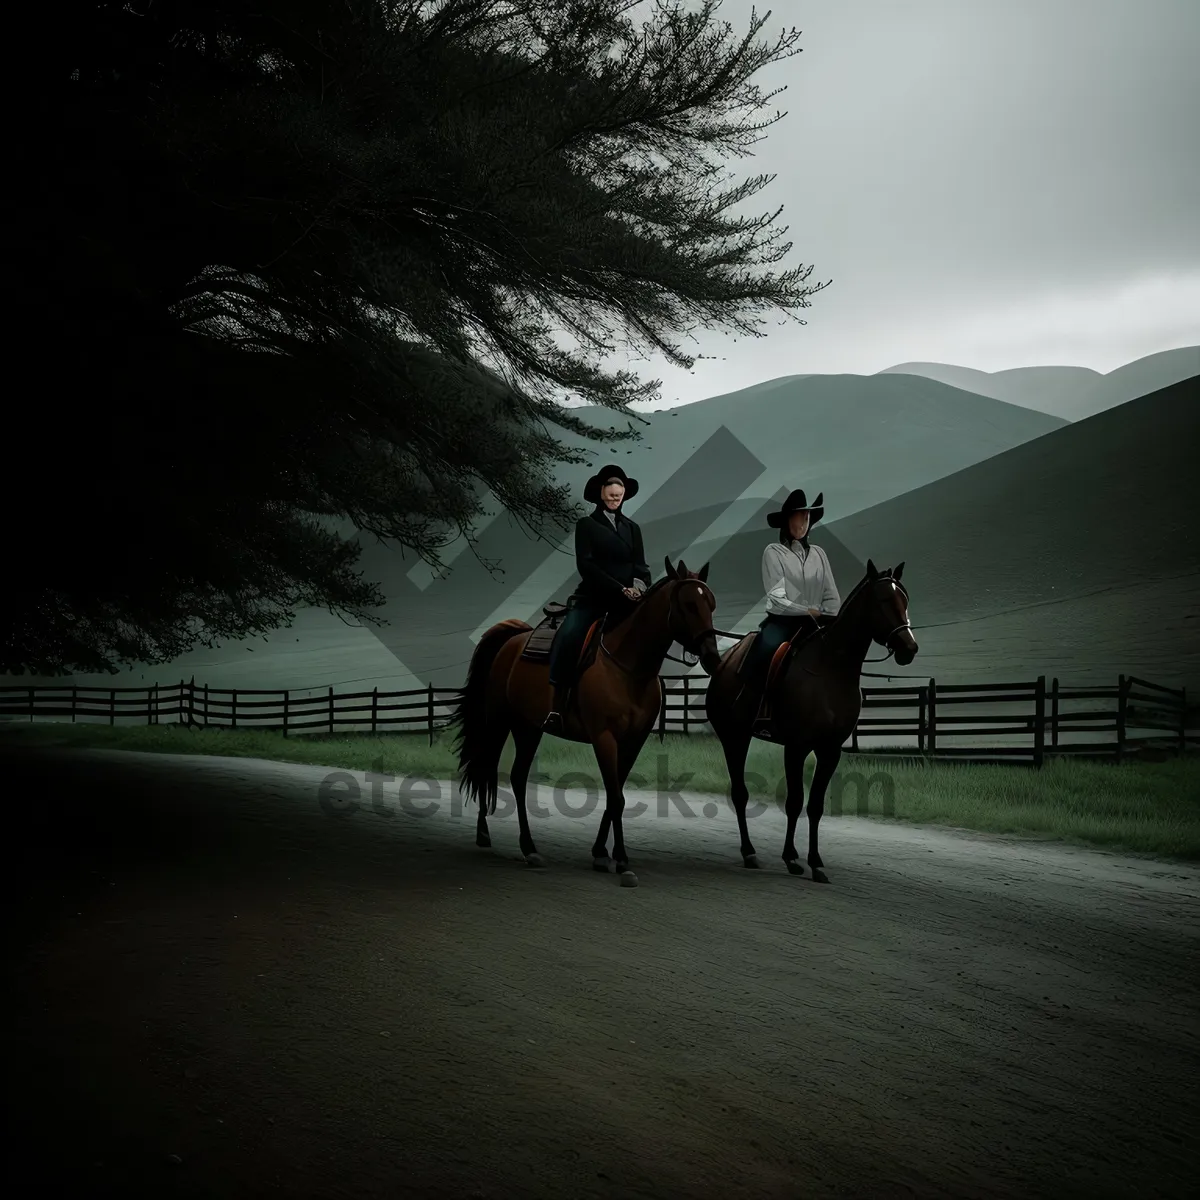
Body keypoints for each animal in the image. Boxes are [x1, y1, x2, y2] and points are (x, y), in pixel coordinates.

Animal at [444, 556, 715, 888]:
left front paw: (601, 853)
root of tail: (513, 640)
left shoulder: (633, 742)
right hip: (498, 721)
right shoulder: (604, 738)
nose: (712, 656)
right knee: (486, 764)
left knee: (518, 778)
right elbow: (616, 798)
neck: (628, 668)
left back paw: (529, 848)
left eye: (710, 603)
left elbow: (616, 796)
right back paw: (487, 834)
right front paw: (622, 862)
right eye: (688, 604)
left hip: (528, 728)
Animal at [700, 559, 916, 883]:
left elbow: (815, 806)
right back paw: (749, 852)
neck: (830, 671)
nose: (909, 648)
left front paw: (815, 862)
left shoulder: (830, 751)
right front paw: (791, 858)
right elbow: (794, 802)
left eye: (905, 599)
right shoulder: (796, 747)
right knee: (739, 794)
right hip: (734, 737)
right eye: (882, 600)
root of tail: (725, 663)